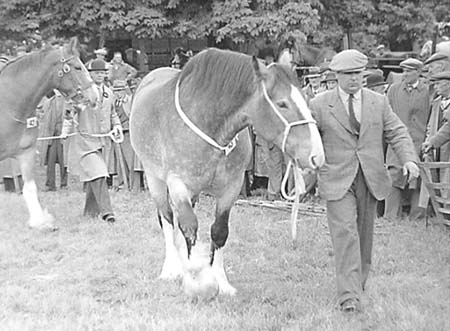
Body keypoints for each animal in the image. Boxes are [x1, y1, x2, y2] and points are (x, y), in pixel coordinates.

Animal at [0, 37, 98, 231]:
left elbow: (30, 188)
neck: (8, 104)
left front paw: (40, 222)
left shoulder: (26, 153)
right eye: (77, 67)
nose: (95, 96)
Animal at [130, 47, 324, 298]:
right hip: (154, 179)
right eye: (282, 104)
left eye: (304, 98)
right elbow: (189, 227)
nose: (316, 155)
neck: (208, 127)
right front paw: (196, 281)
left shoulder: (231, 187)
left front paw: (220, 282)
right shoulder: (177, 184)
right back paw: (172, 268)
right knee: (167, 218)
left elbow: (219, 232)